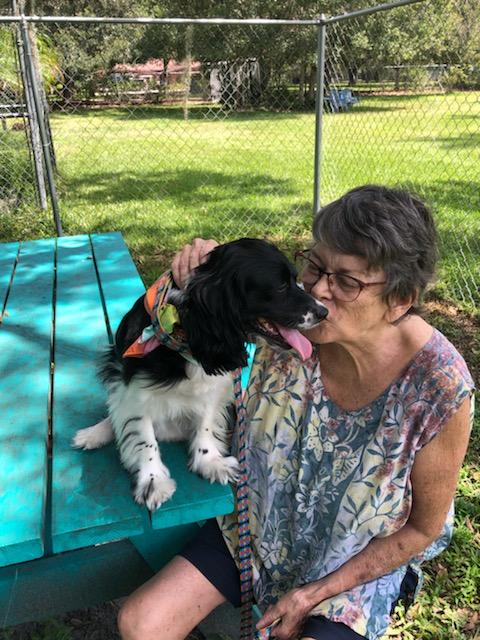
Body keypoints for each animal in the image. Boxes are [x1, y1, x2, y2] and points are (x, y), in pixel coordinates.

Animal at [72, 238, 326, 512]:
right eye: (280, 286)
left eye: (295, 279)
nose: (324, 312)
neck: (183, 328)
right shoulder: (134, 389)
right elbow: (143, 436)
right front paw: (153, 480)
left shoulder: (216, 387)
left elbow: (205, 423)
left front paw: (210, 462)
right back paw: (95, 433)